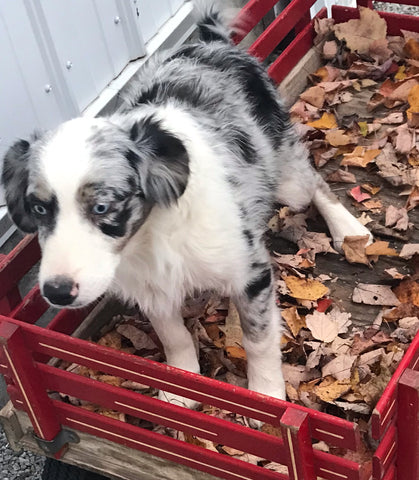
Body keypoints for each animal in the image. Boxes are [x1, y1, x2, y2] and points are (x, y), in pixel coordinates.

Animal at [2, 2, 370, 408]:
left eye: (102, 207)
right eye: (38, 209)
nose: (55, 292)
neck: (151, 236)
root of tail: (210, 43)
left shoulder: (250, 271)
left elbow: (258, 339)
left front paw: (265, 396)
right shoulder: (150, 287)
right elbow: (173, 336)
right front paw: (181, 391)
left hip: (286, 174)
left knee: (314, 181)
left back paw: (349, 230)